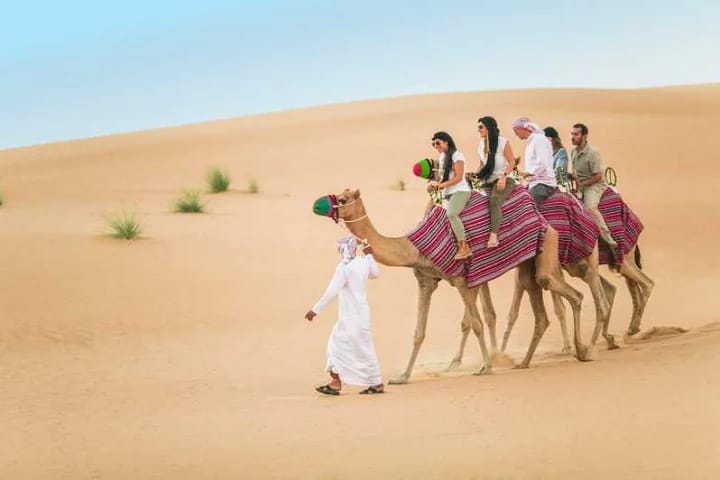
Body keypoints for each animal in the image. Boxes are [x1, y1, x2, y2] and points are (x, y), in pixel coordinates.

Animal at [316, 188, 590, 384]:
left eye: (342, 198)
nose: (319, 205)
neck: (412, 247)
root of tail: (539, 213)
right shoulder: (426, 281)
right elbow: (419, 332)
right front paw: (402, 377)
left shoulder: (461, 280)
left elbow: (476, 323)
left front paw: (486, 367)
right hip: (528, 262)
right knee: (541, 306)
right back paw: (526, 361)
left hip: (547, 247)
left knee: (569, 292)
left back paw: (582, 350)